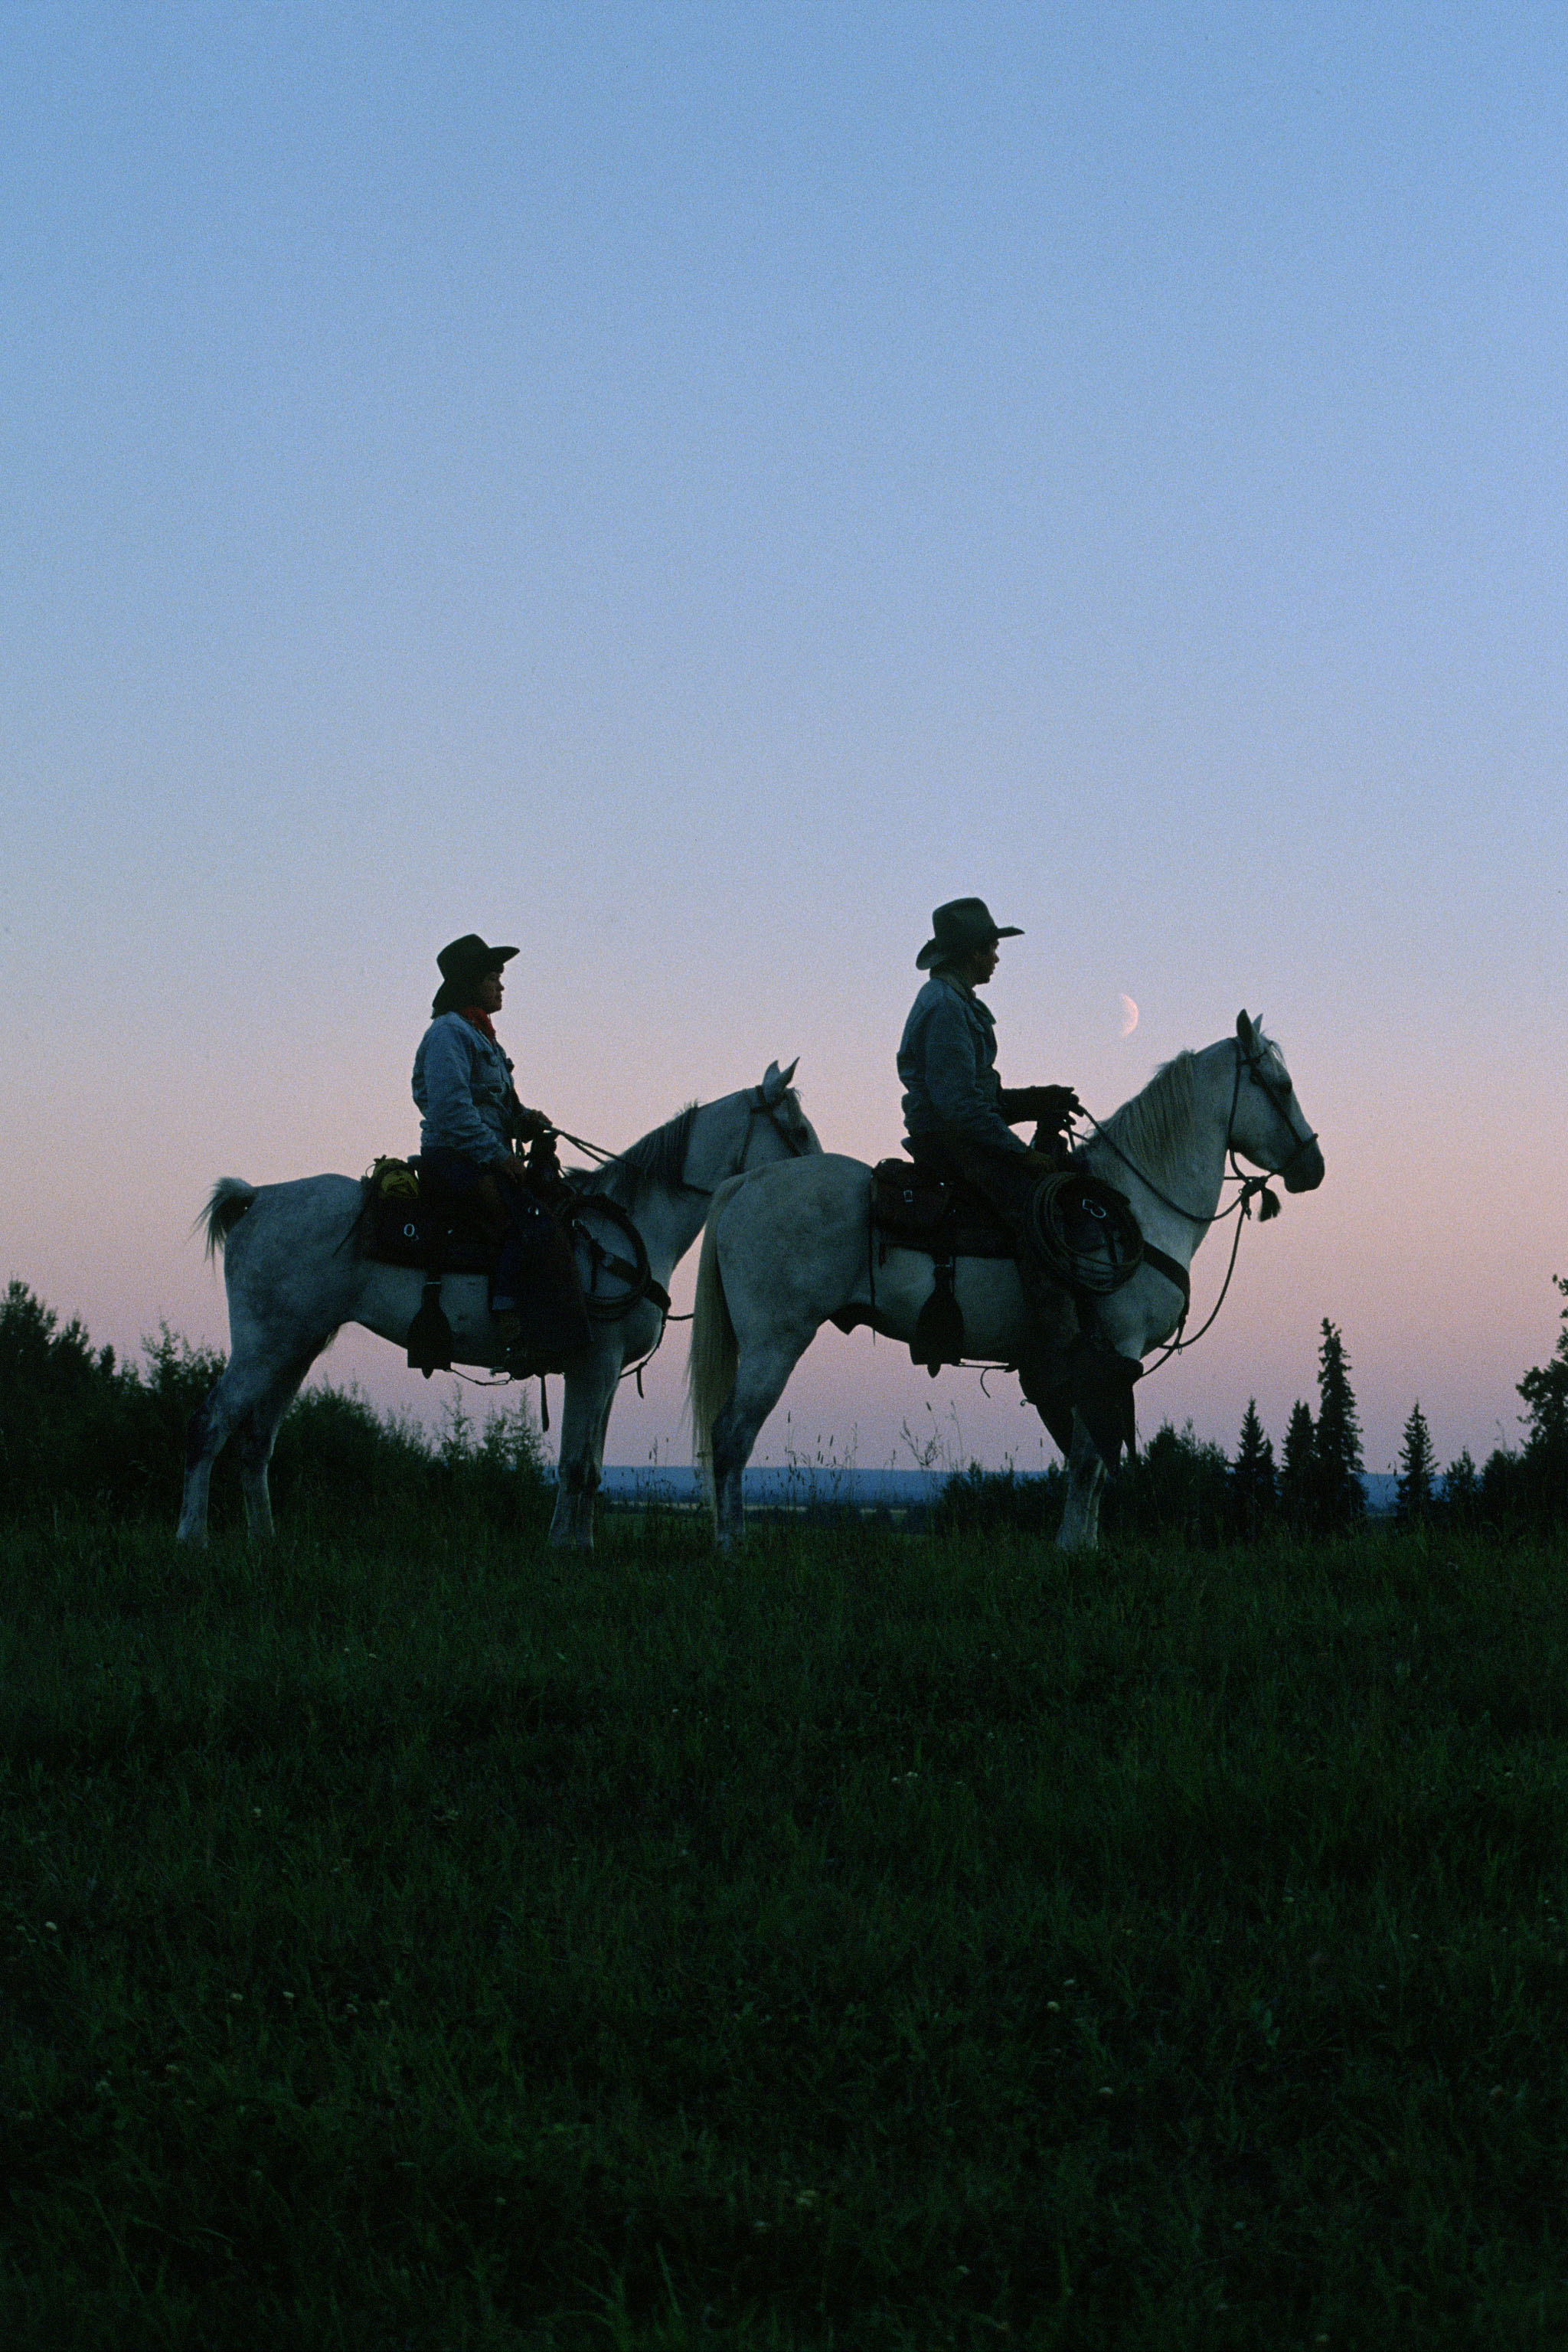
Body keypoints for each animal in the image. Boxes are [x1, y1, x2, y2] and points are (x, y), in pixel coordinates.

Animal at [177, 1063, 822, 1543]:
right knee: (211, 1423)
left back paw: (265, 1541)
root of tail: (257, 1198)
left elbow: (590, 1467)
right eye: (796, 1128)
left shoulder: (605, 1371)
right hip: (264, 1344)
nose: (820, 1172)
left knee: (257, 1439)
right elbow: (575, 1465)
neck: (629, 1227)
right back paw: (193, 1538)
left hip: (297, 1347)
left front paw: (581, 1546)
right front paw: (563, 1549)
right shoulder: (592, 1364)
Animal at [691, 1006, 1316, 1543]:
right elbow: (1090, 1460)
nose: (1315, 1166)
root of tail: (745, 1183)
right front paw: (1072, 1548)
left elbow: (1095, 1460)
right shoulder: (1112, 1351)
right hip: (775, 1342)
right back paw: (731, 1546)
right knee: (731, 1437)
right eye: (1282, 1086)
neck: (1139, 1206)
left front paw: (1088, 1546)